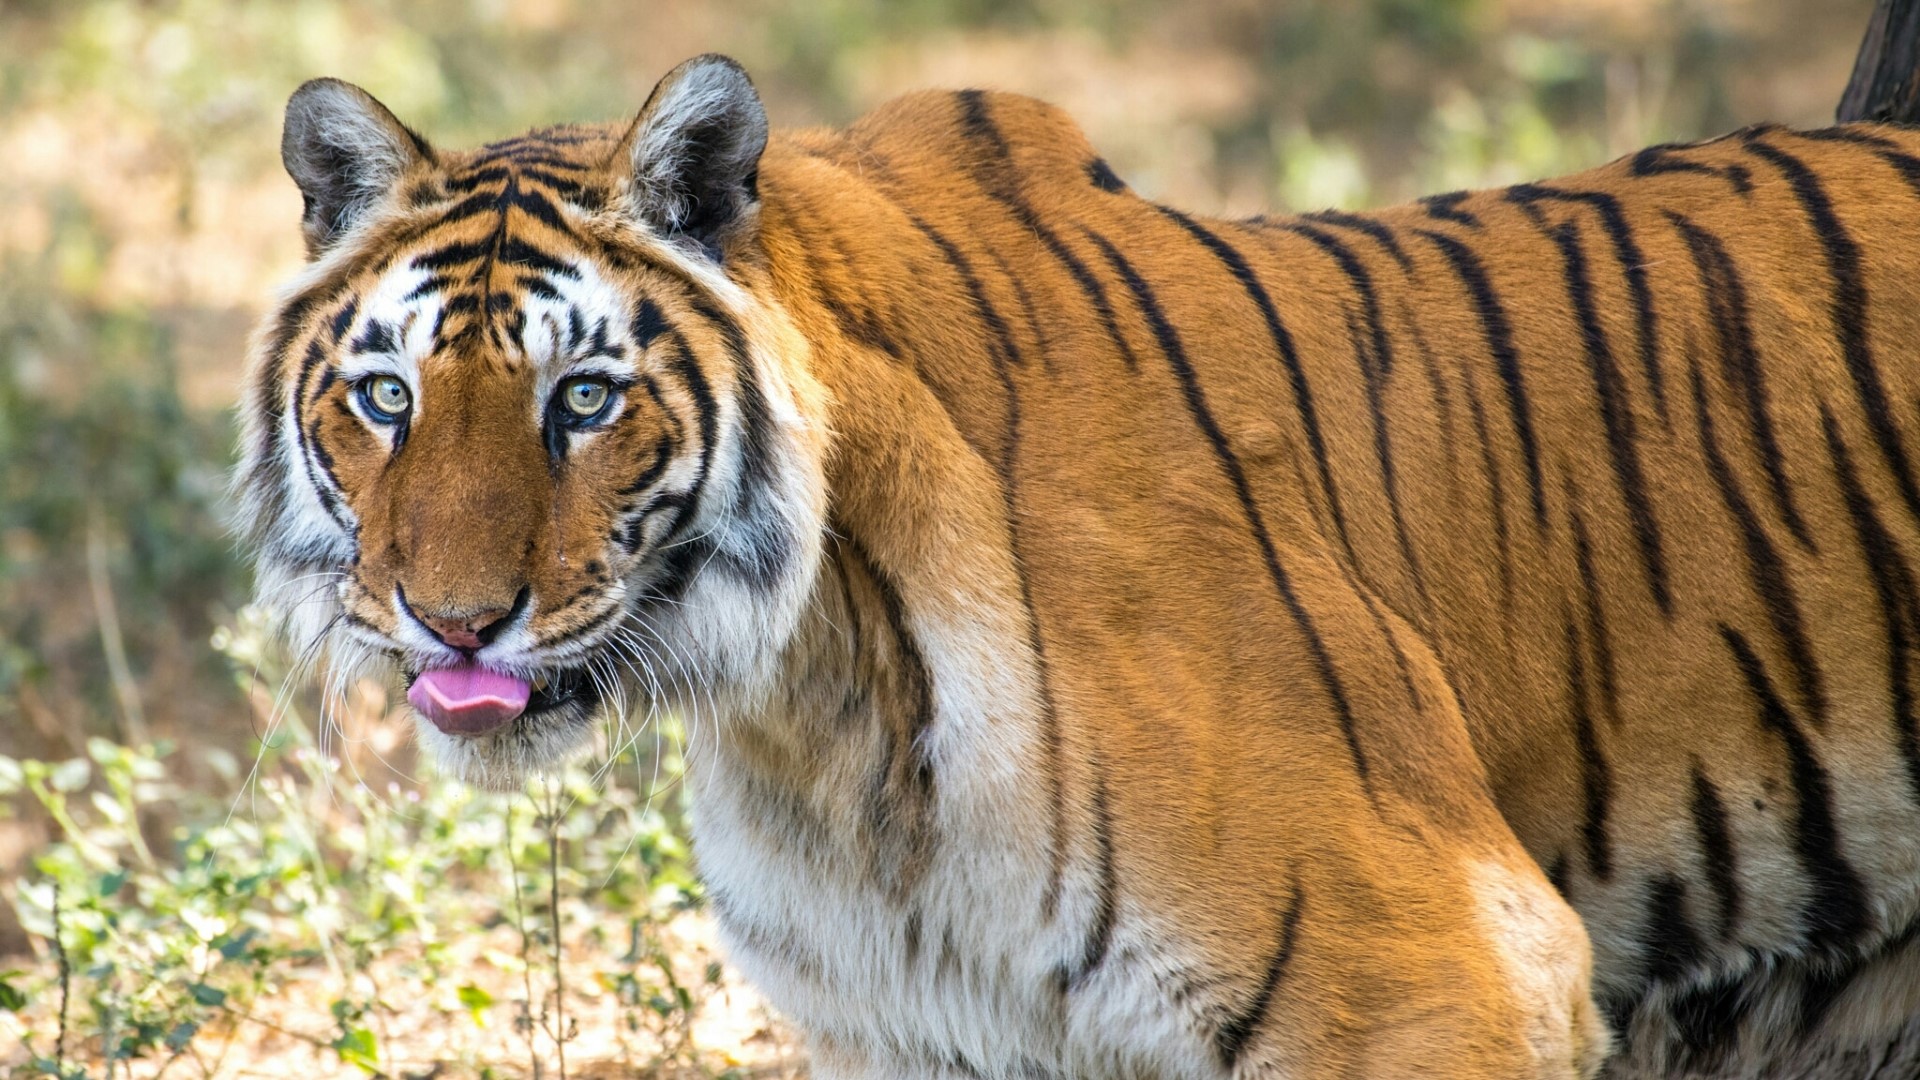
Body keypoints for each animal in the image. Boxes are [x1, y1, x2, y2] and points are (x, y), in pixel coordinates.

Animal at [234, 52, 1920, 1077]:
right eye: (385, 396)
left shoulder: (1440, 969)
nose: (452, 621)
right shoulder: (909, 1031)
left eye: (581, 400)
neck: (816, 707)